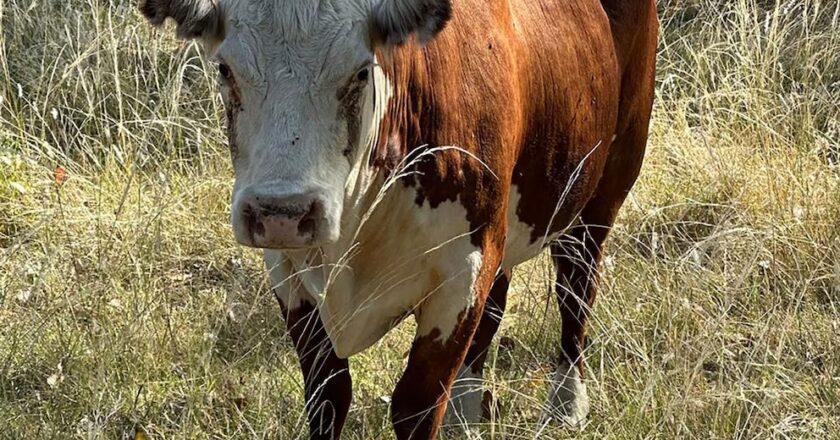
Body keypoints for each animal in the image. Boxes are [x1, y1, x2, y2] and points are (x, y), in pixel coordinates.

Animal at [141, 0, 660, 436]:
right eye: (225, 69)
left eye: (359, 73)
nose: (282, 212)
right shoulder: (287, 272)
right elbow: (328, 395)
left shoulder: (462, 270)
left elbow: (415, 404)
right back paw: (465, 411)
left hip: (606, 181)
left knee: (576, 285)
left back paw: (566, 401)